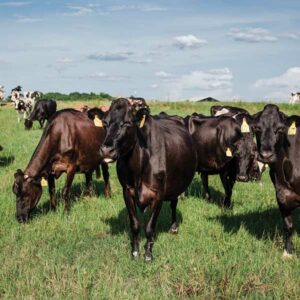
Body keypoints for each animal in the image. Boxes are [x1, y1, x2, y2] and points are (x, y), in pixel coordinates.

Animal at [99, 98, 197, 260]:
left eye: (127, 123)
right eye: (104, 123)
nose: (106, 150)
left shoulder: (159, 193)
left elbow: (150, 226)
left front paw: (148, 254)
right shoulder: (127, 191)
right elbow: (135, 224)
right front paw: (135, 251)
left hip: (175, 185)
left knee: (173, 204)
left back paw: (173, 227)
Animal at [253, 104, 300, 256]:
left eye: (280, 129)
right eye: (257, 128)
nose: (266, 155)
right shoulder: (280, 194)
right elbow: (288, 225)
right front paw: (288, 252)